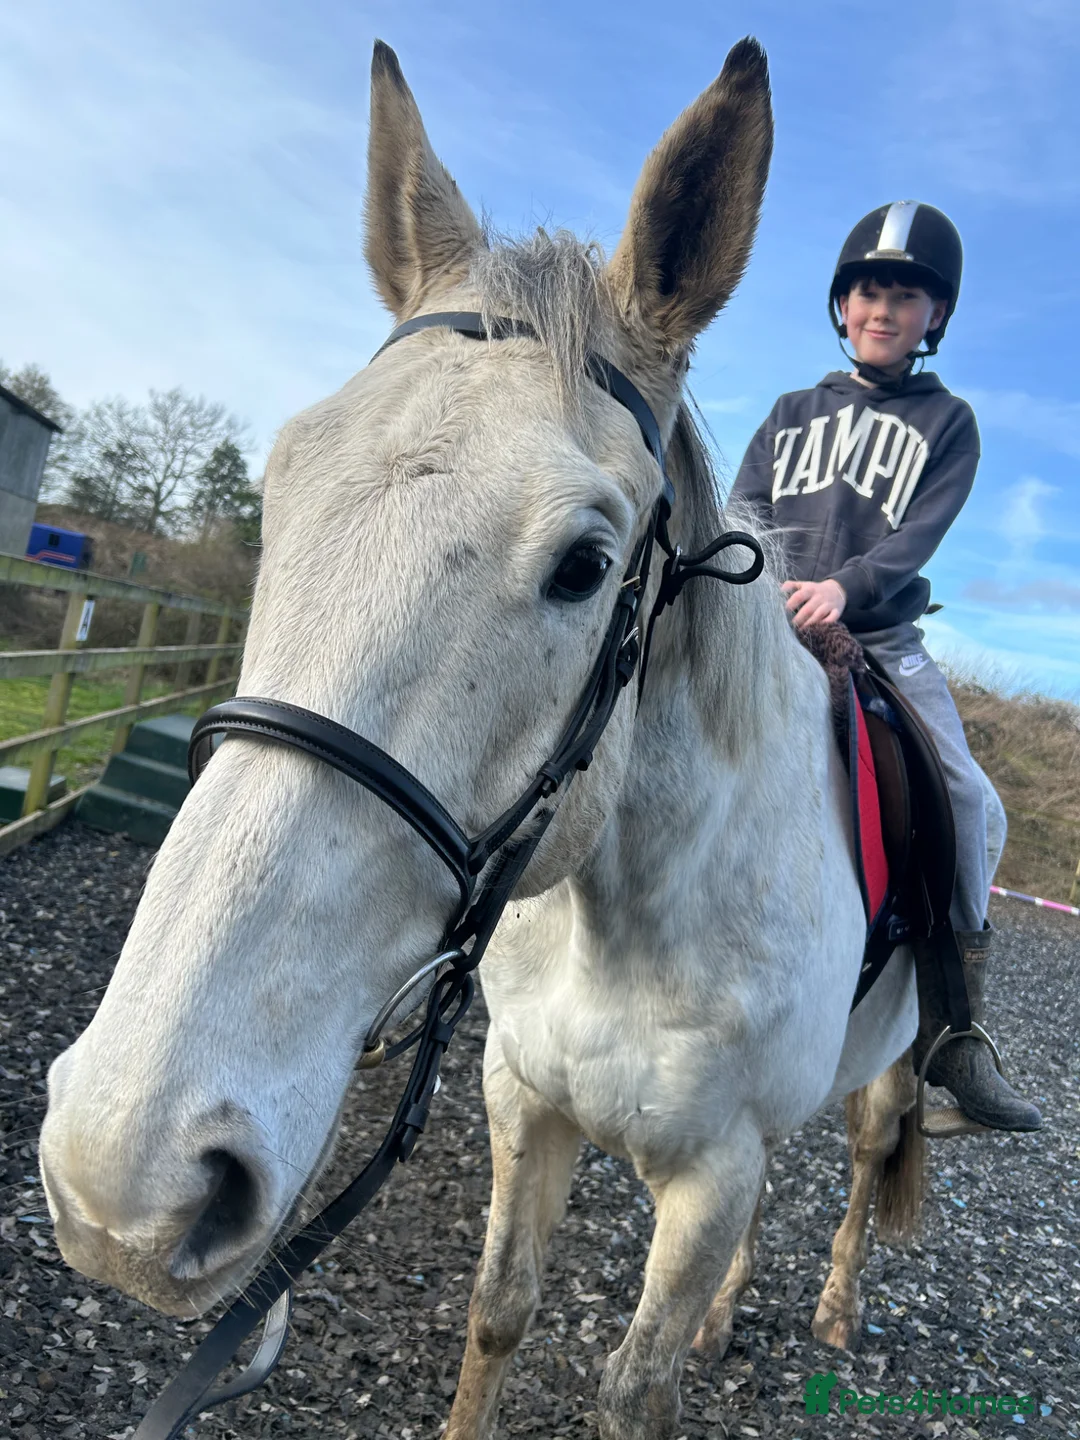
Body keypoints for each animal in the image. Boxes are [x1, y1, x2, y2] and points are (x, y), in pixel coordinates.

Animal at [39, 36, 947, 1439]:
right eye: (279, 489)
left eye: (584, 564)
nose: (125, 1177)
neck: (633, 917)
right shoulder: (525, 1101)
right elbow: (500, 1312)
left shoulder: (708, 1181)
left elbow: (636, 1390)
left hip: (894, 1068)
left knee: (859, 1152)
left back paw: (838, 1307)